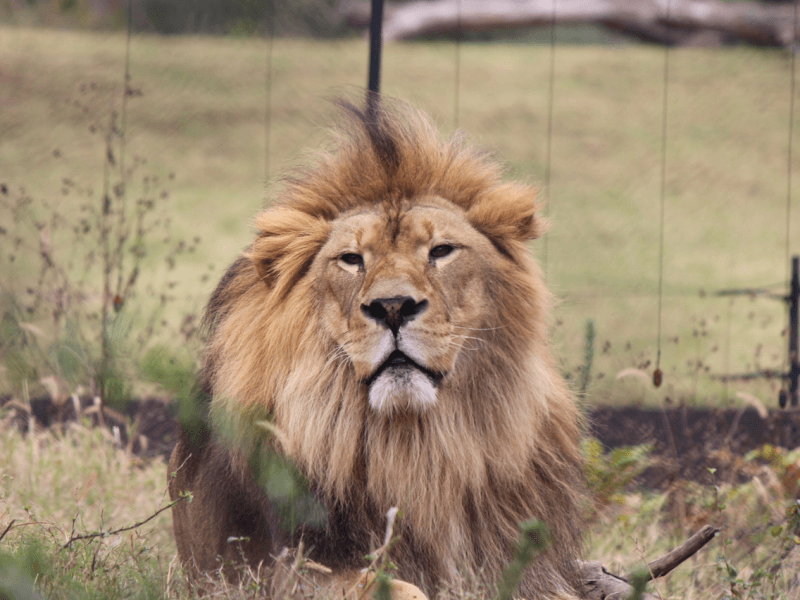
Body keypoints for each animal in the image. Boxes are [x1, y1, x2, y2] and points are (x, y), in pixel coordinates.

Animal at [169, 98, 584, 600]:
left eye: (441, 250)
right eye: (351, 259)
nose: (392, 306)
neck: (414, 447)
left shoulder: (534, 571)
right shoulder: (287, 572)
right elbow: (403, 587)